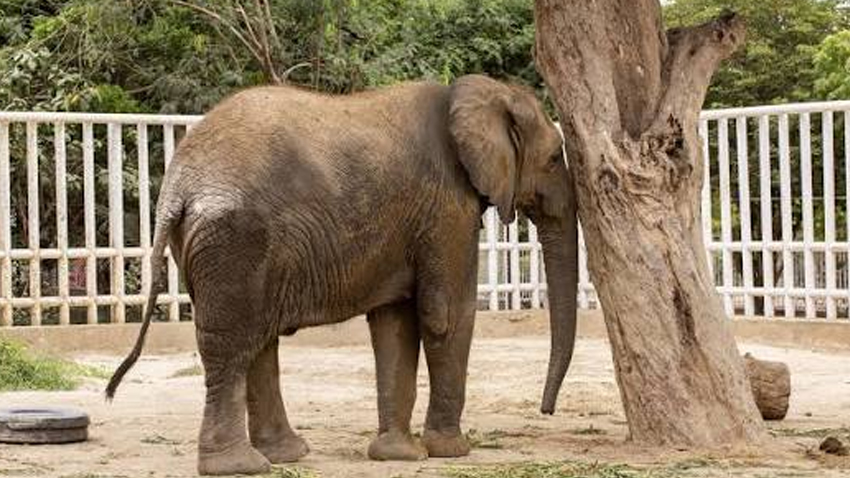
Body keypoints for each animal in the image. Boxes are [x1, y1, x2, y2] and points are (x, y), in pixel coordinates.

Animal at [105, 74, 578, 476]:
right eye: (555, 158)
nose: (546, 410)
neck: (473, 94)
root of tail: (177, 184)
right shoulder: (446, 207)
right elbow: (446, 315)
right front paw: (451, 451)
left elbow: (394, 322)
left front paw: (398, 455)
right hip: (233, 237)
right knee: (233, 343)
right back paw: (240, 466)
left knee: (257, 339)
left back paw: (284, 455)